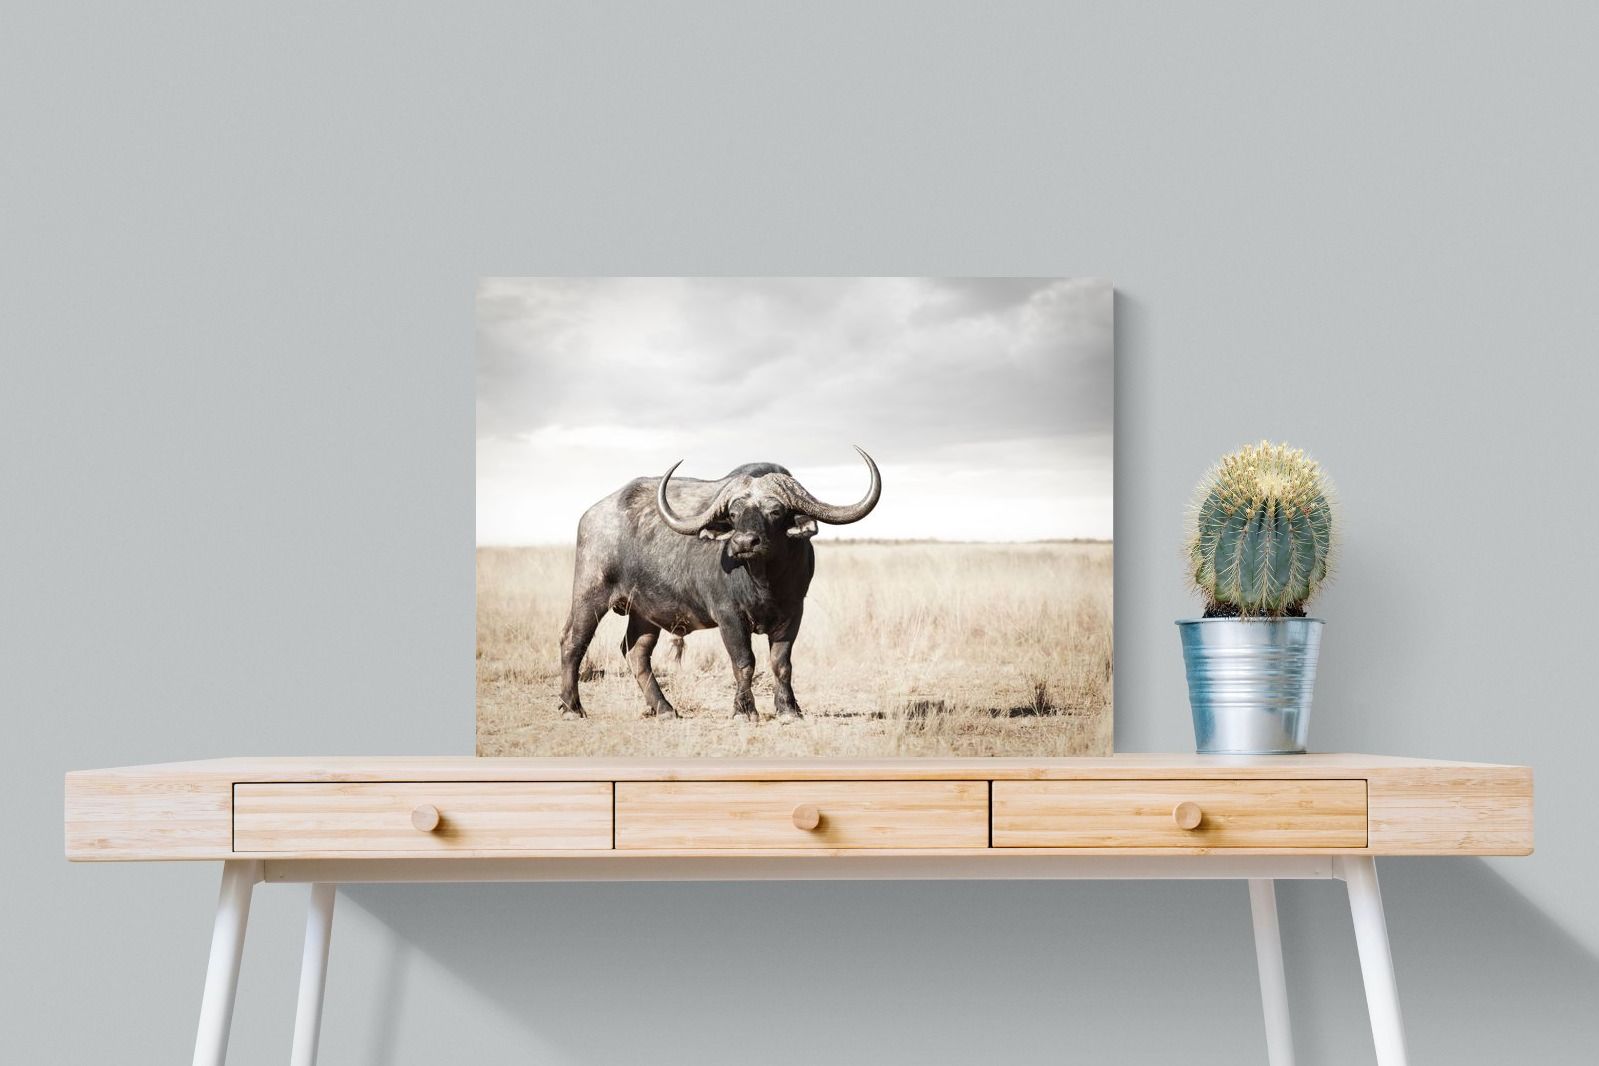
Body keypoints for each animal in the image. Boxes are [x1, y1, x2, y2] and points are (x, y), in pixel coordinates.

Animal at [557, 447, 881, 722]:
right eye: (734, 514)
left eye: (775, 511)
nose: (744, 543)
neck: (764, 581)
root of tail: (592, 515)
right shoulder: (729, 616)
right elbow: (744, 662)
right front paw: (744, 711)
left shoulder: (793, 613)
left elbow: (781, 663)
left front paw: (789, 709)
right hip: (590, 593)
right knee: (573, 641)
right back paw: (572, 707)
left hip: (644, 611)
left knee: (635, 651)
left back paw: (664, 709)